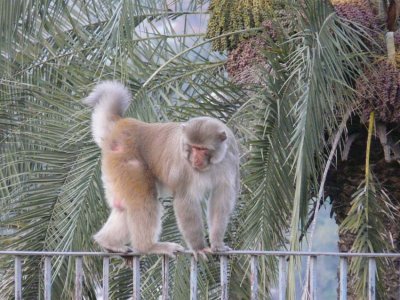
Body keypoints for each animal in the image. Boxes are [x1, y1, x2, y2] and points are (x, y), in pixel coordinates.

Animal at [83, 81, 241, 258]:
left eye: (202, 149)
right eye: (192, 147)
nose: (195, 159)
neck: (211, 164)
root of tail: (123, 124)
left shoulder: (231, 158)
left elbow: (221, 199)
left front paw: (217, 244)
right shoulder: (185, 168)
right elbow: (186, 200)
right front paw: (199, 247)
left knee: (123, 206)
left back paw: (109, 242)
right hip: (125, 161)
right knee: (144, 199)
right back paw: (148, 246)